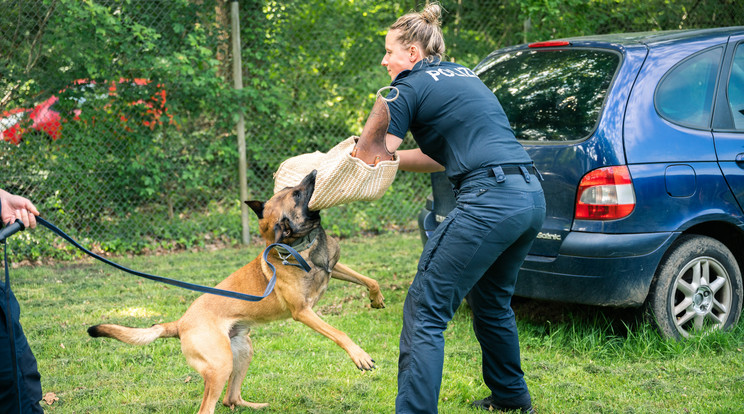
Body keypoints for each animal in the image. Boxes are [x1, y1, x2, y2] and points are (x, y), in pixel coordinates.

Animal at [88, 171, 384, 414]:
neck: (296, 246)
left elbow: (369, 279)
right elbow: (339, 333)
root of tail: (180, 323)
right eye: (297, 194)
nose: (313, 172)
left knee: (230, 399)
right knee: (207, 408)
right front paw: (359, 355)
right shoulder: (303, 312)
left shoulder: (334, 267)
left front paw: (376, 298)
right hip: (221, 366)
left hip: (242, 351)